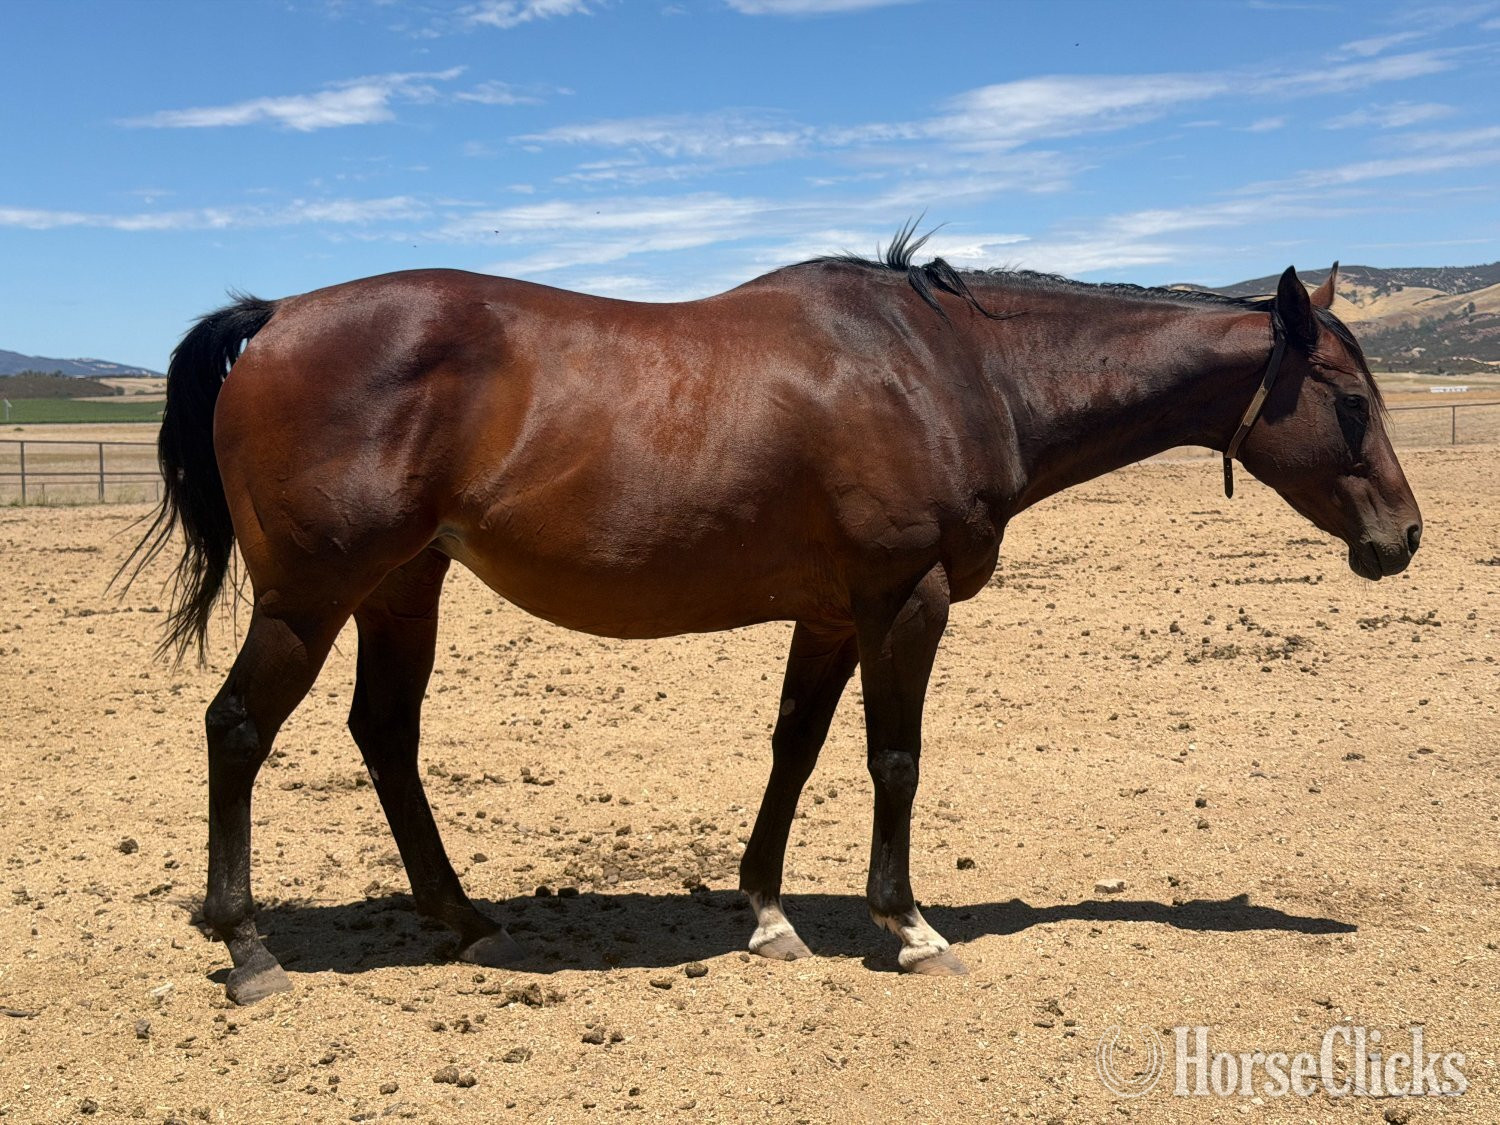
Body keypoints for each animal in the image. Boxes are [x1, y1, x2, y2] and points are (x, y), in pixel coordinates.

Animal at [124, 231, 1422, 1004]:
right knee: (238, 730)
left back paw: (458, 917)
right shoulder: (906, 599)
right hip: (312, 596)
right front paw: (906, 926)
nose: (1402, 539)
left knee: (386, 735)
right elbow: (894, 759)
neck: (952, 371)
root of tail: (273, 317)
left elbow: (794, 751)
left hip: (403, 585)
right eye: (1353, 403)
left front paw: (767, 913)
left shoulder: (835, 615)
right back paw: (248, 948)